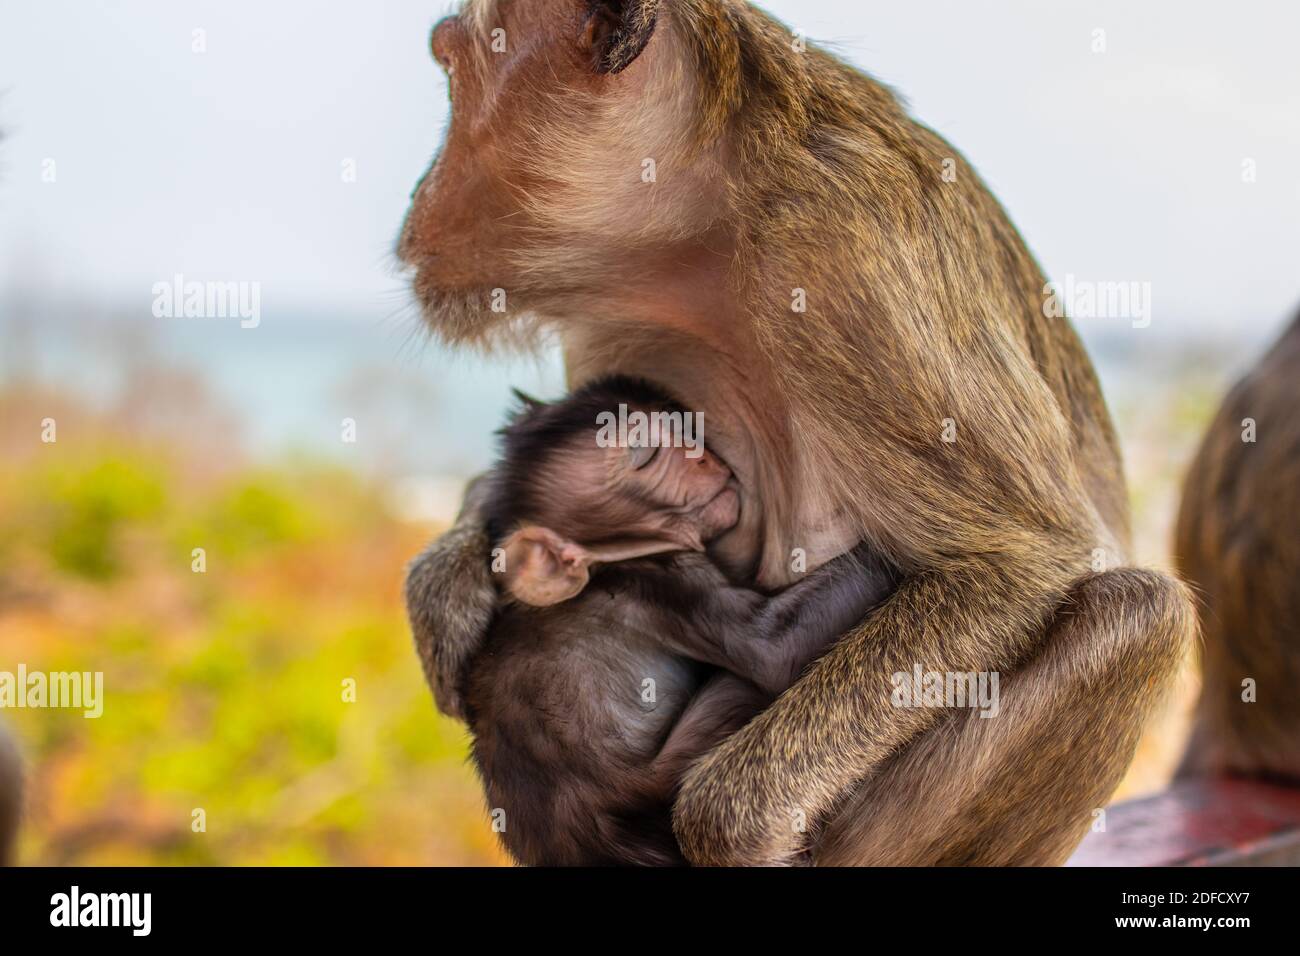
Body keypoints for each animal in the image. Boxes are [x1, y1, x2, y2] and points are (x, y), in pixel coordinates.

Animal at [467, 374, 904, 868]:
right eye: (646, 454)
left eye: (681, 428)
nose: (703, 455)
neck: (608, 562)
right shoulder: (662, 579)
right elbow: (774, 649)